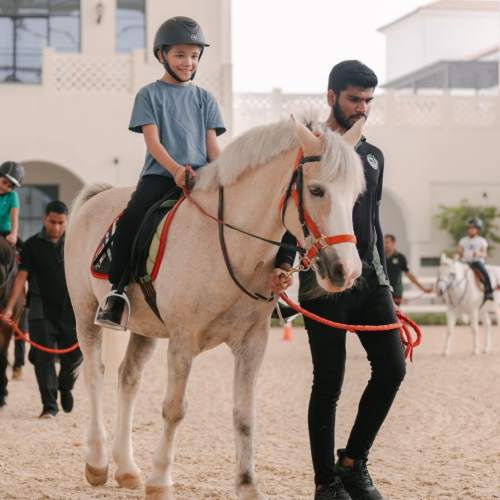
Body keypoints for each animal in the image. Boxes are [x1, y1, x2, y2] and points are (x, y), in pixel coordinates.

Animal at [64, 114, 366, 500]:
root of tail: (98, 196)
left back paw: (127, 468)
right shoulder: (183, 341)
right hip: (85, 313)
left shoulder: (253, 344)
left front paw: (248, 485)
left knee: (128, 381)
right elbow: (174, 409)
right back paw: (98, 462)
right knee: (95, 375)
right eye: (316, 191)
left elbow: (245, 415)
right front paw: (160, 481)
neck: (231, 247)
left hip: (146, 329)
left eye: (355, 195)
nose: (347, 270)